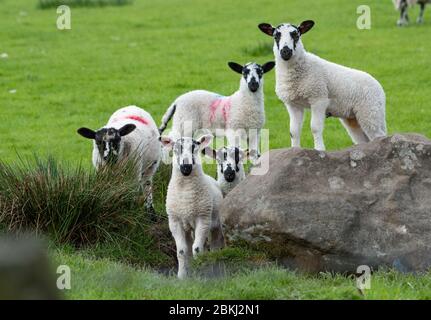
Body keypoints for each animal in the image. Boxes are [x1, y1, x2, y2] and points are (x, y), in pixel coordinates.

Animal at [160, 134, 224, 278]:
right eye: (176, 148)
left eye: (195, 147)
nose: (186, 167)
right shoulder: (175, 222)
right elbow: (182, 251)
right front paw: (182, 276)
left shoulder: (203, 219)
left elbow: (197, 250)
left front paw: (200, 274)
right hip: (188, 227)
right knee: (190, 246)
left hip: (214, 224)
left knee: (214, 247)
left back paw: (213, 268)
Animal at [256, 21, 388, 151]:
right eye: (276, 36)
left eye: (296, 35)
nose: (286, 52)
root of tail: (379, 87)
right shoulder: (293, 104)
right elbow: (293, 131)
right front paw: (294, 149)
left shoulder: (319, 98)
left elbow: (315, 128)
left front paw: (319, 149)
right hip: (353, 118)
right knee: (363, 140)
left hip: (370, 111)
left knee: (379, 136)